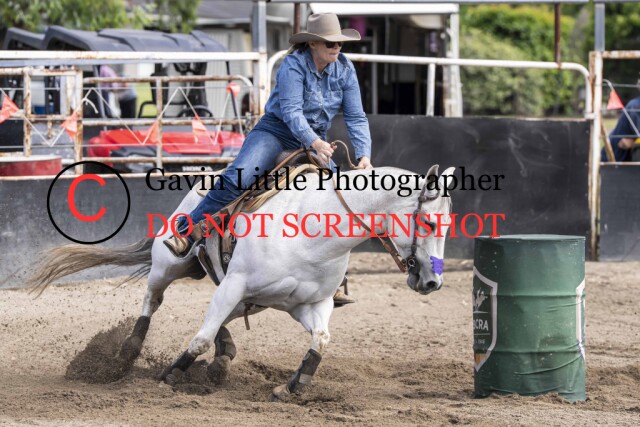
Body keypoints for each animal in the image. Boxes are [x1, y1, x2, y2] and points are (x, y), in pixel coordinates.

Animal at [29, 164, 455, 401]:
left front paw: (291, 388)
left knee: (224, 320)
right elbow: (199, 338)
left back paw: (224, 357)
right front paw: (170, 376)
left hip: (250, 299)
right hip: (170, 265)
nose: (432, 282)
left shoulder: (310, 304)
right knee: (153, 299)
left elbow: (320, 341)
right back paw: (127, 353)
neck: (314, 235)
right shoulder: (235, 283)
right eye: (427, 221)